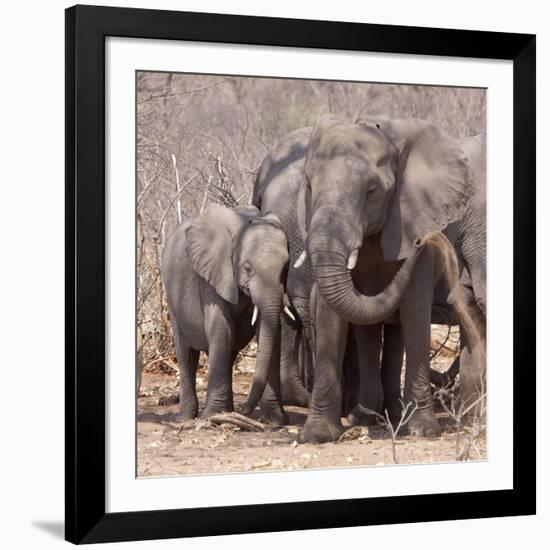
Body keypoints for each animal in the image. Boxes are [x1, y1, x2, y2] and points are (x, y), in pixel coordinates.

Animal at [162, 205, 294, 424]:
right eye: (247, 267)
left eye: (285, 268)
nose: (244, 410)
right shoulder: (212, 273)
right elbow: (222, 327)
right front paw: (214, 416)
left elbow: (270, 331)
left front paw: (274, 421)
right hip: (172, 299)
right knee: (185, 352)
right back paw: (186, 418)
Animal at [300, 115, 476, 444]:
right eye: (308, 185)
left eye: (372, 191)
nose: (424, 242)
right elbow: (331, 315)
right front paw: (316, 435)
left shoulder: (414, 219)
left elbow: (415, 309)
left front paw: (423, 431)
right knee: (371, 330)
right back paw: (367, 416)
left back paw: (392, 415)